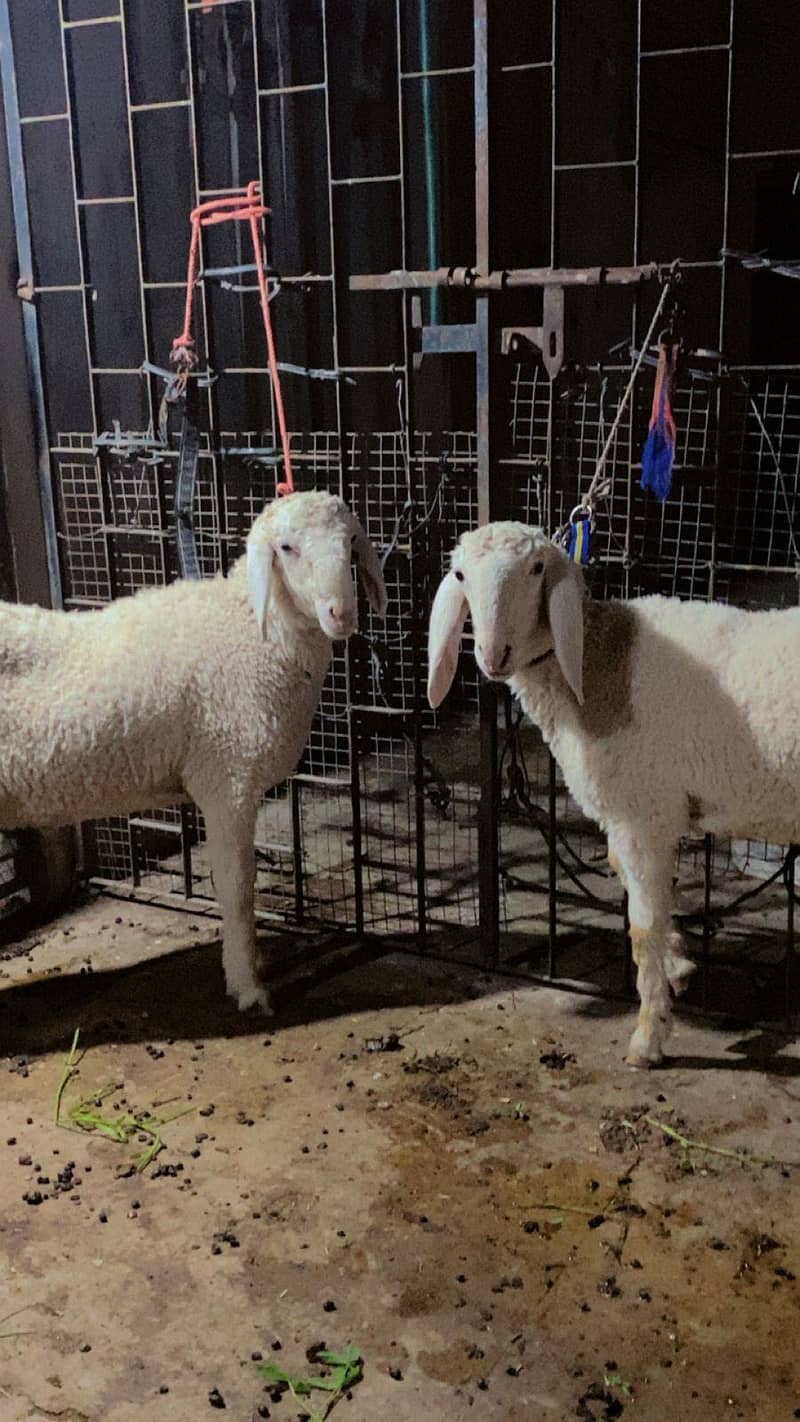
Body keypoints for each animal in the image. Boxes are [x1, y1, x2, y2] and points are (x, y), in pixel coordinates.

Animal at [0, 490, 387, 1014]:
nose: (341, 616)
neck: (253, 630)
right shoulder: (228, 777)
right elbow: (238, 886)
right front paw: (247, 984)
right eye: (286, 548)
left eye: (350, 544)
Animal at [427, 520, 800, 1067]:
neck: (595, 664)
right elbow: (628, 878)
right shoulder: (635, 813)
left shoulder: (641, 814)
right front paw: (679, 964)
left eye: (536, 569)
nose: (494, 656)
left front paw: (648, 1037)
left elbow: (641, 926)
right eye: (459, 575)